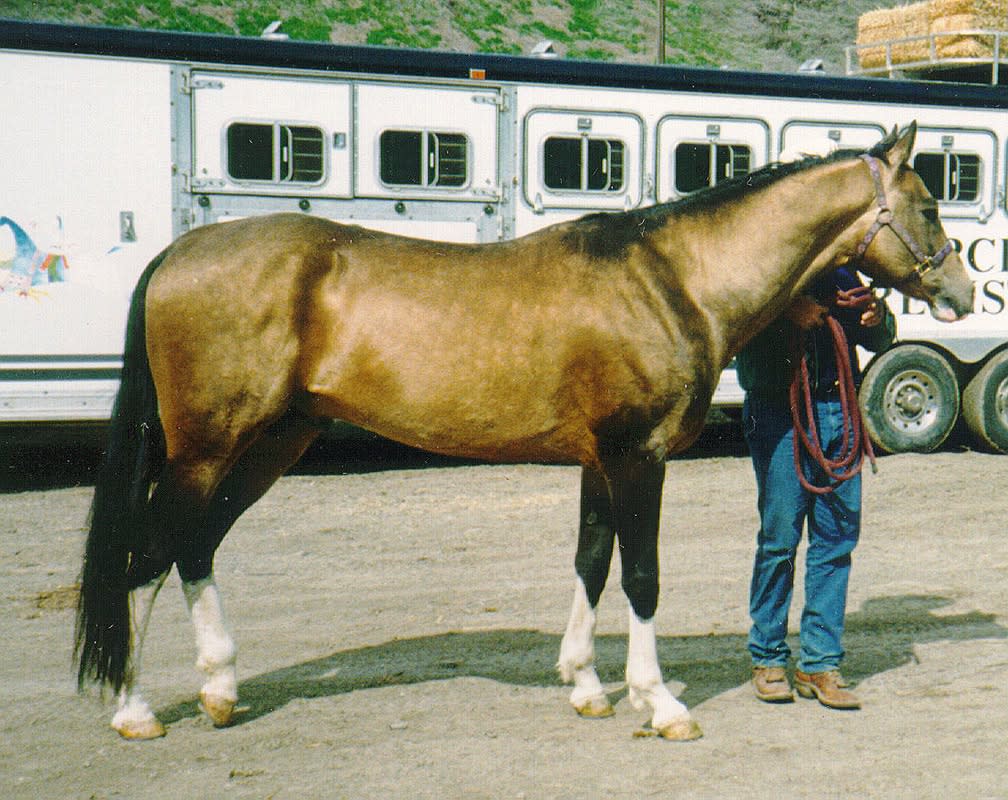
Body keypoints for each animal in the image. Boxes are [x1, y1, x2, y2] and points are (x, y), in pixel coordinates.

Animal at [75, 122, 972, 741]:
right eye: (931, 204)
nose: (963, 291)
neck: (675, 279)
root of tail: (176, 255)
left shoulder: (597, 462)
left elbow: (590, 561)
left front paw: (585, 685)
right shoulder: (637, 458)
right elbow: (641, 575)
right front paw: (659, 702)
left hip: (270, 443)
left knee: (192, 547)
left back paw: (221, 690)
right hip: (208, 449)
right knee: (147, 555)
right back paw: (134, 709)